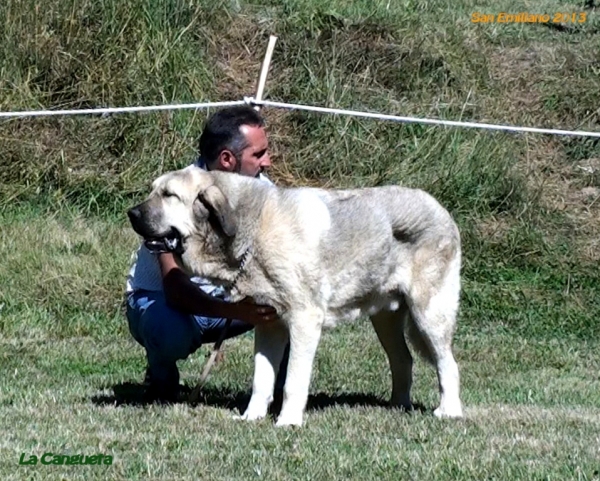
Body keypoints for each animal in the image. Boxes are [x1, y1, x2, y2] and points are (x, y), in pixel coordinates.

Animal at [127, 165, 464, 424]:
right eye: (153, 191)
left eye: (169, 195)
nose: (131, 212)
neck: (252, 232)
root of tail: (442, 210)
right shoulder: (269, 324)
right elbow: (262, 379)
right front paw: (251, 418)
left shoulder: (304, 320)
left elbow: (292, 380)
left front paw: (288, 421)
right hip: (386, 319)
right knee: (403, 360)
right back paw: (397, 407)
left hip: (429, 314)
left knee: (448, 363)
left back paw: (449, 411)